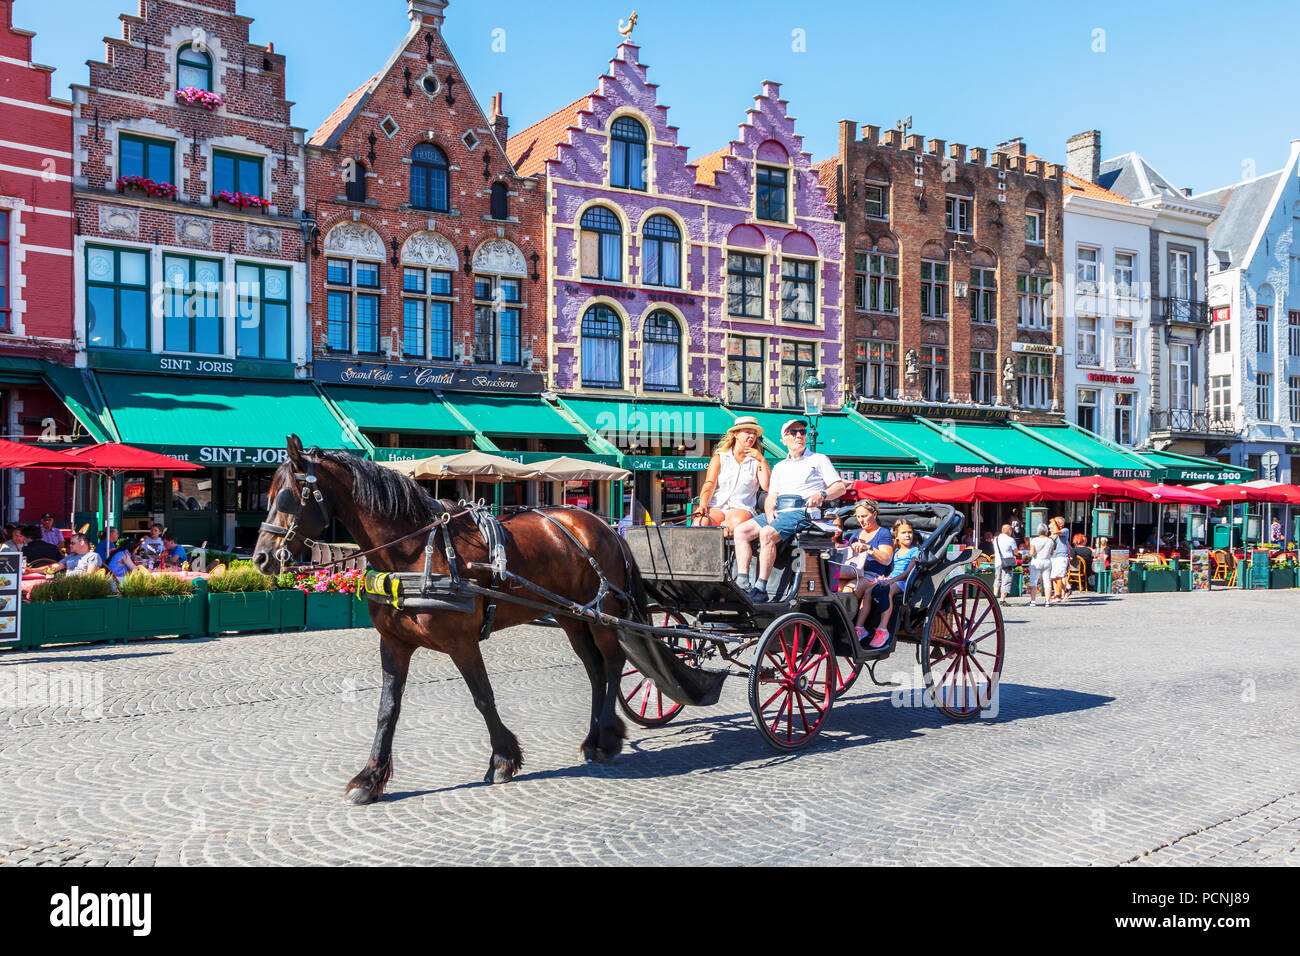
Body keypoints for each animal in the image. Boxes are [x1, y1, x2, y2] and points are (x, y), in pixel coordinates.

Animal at [253, 437, 644, 806]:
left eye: (287, 498)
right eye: (267, 495)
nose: (261, 557)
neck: (416, 552)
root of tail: (601, 524)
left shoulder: (462, 642)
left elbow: (483, 696)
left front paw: (503, 760)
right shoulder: (393, 643)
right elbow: (387, 710)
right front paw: (370, 778)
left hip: (602, 614)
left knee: (612, 664)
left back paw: (608, 737)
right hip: (572, 617)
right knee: (594, 670)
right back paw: (593, 739)